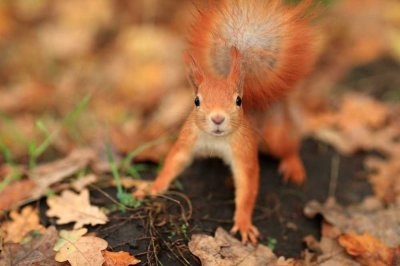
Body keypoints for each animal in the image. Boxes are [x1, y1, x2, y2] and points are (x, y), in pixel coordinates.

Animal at [134, 0, 316, 243]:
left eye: (238, 101)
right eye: (196, 101)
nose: (218, 118)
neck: (216, 140)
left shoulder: (244, 150)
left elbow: (247, 186)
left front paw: (244, 222)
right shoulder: (188, 139)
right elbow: (174, 162)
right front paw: (152, 187)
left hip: (274, 135)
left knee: (288, 146)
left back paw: (293, 165)